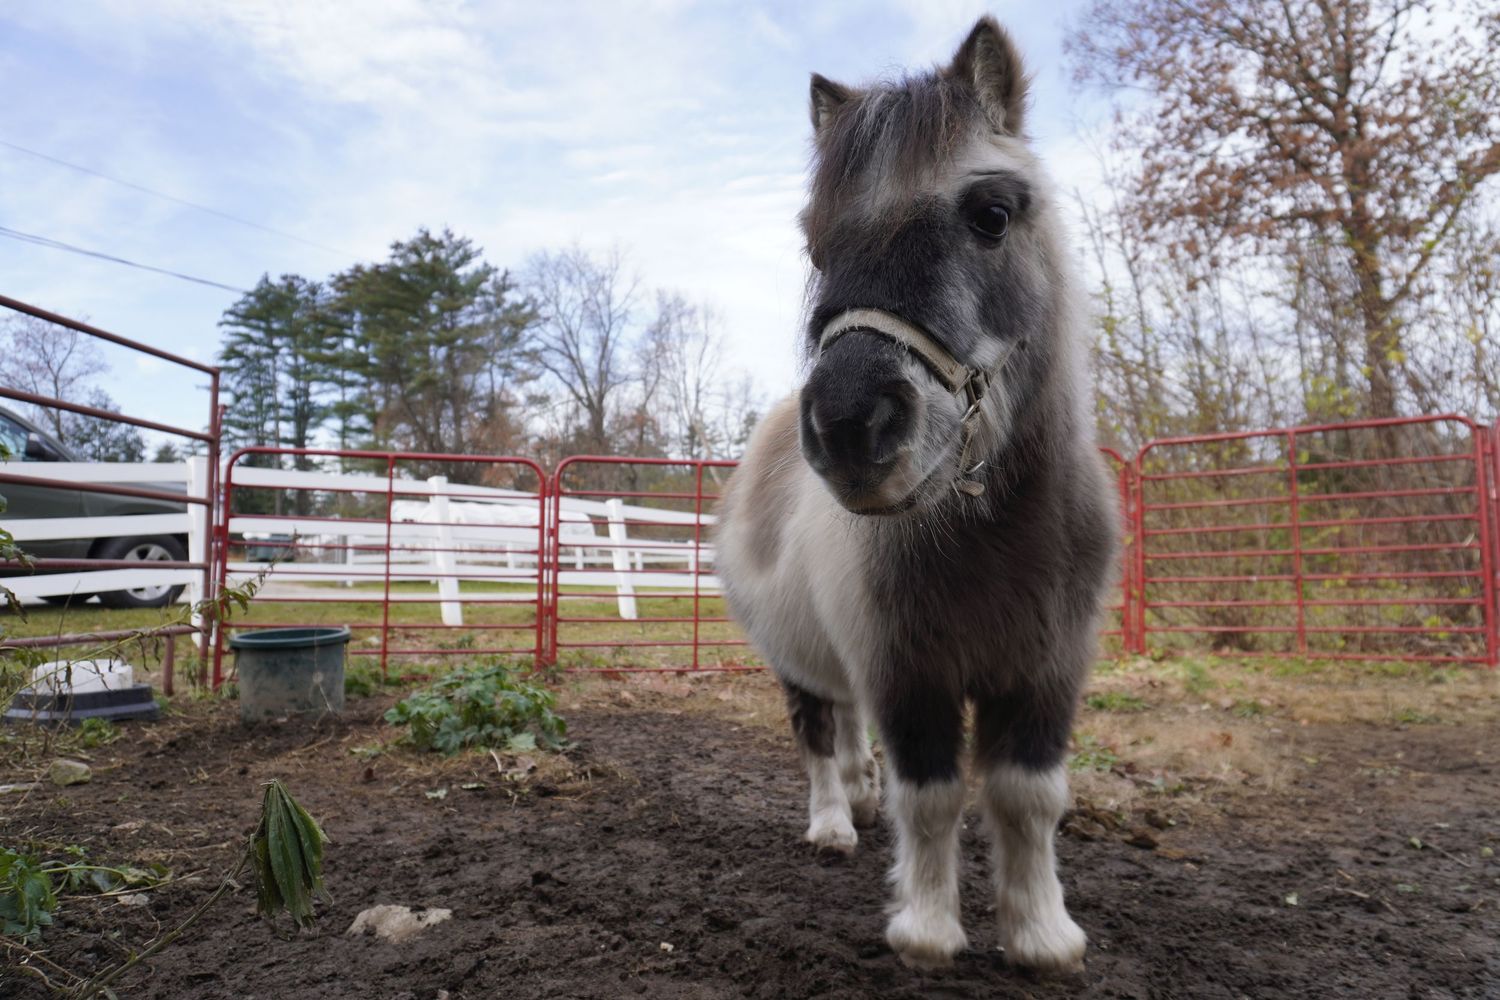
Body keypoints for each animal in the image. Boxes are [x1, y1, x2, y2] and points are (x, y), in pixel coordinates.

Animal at [715, 17, 1119, 974]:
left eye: (992, 215)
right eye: (817, 245)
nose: (851, 427)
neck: (995, 537)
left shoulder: (1047, 672)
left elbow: (1028, 796)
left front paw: (1041, 934)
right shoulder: (909, 672)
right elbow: (931, 795)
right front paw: (927, 931)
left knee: (848, 734)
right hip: (795, 659)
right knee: (818, 735)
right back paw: (834, 823)